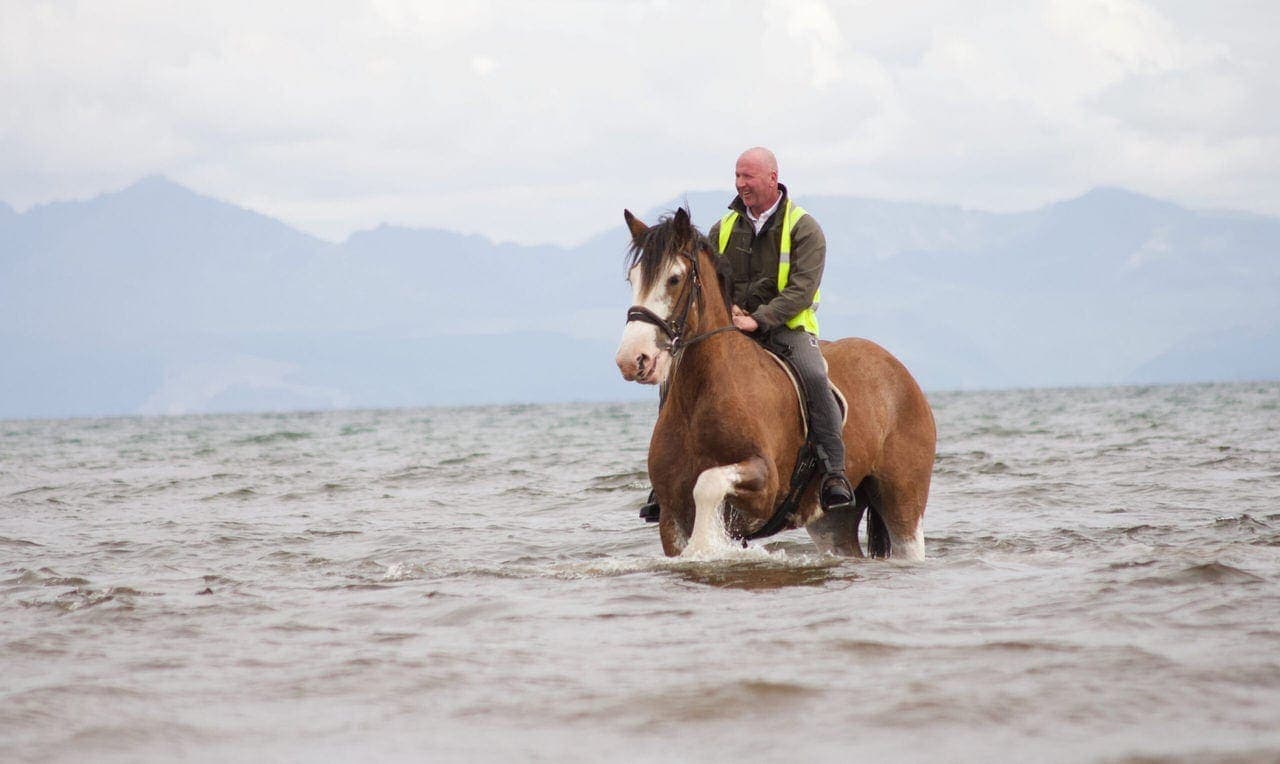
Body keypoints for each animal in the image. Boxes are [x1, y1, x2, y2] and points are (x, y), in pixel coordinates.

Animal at [614, 207, 936, 559]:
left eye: (673, 278)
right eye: (632, 279)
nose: (633, 359)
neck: (701, 396)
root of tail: (898, 370)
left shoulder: (763, 485)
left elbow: (708, 483)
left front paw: (703, 547)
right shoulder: (671, 518)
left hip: (903, 503)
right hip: (832, 523)